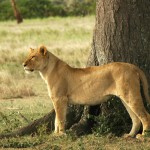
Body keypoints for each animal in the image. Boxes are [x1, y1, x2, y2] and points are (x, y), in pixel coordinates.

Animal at [22, 45, 150, 138]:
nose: (23, 64)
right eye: (28, 56)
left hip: (131, 95)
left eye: (33, 57)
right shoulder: (58, 100)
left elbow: (60, 118)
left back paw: (143, 136)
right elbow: (56, 119)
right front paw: (55, 134)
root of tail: (133, 67)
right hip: (125, 97)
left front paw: (60, 134)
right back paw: (129, 135)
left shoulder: (60, 99)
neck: (46, 71)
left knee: (145, 115)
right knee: (135, 118)